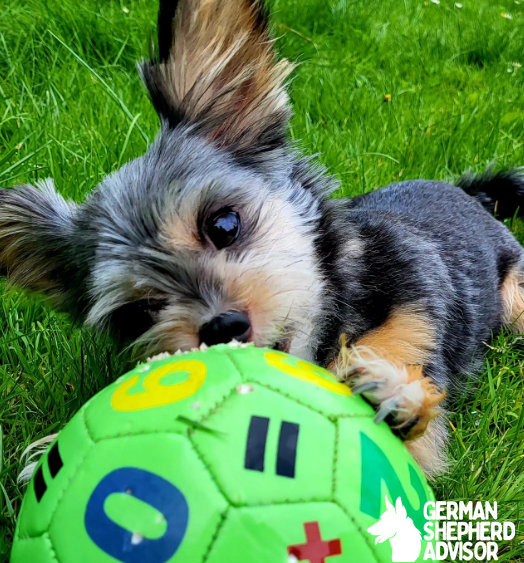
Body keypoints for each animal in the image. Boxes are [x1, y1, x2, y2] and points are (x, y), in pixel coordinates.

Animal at [1, 0, 524, 480]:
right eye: (139, 312)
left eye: (224, 224)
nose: (221, 327)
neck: (339, 309)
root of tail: (466, 192)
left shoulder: (413, 330)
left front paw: (395, 392)